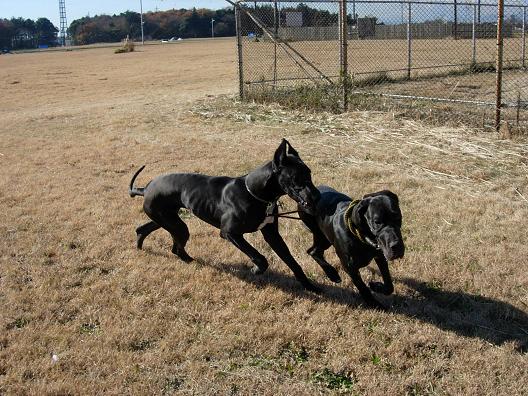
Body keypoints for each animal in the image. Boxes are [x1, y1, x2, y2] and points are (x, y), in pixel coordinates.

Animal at [130, 138, 324, 290]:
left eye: (310, 173)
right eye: (297, 178)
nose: (318, 196)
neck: (254, 193)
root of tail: (145, 188)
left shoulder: (272, 234)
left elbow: (292, 261)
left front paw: (310, 286)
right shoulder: (230, 233)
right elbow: (260, 257)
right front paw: (255, 270)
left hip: (167, 219)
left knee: (145, 230)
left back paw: (142, 244)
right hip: (176, 225)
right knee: (176, 248)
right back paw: (193, 261)